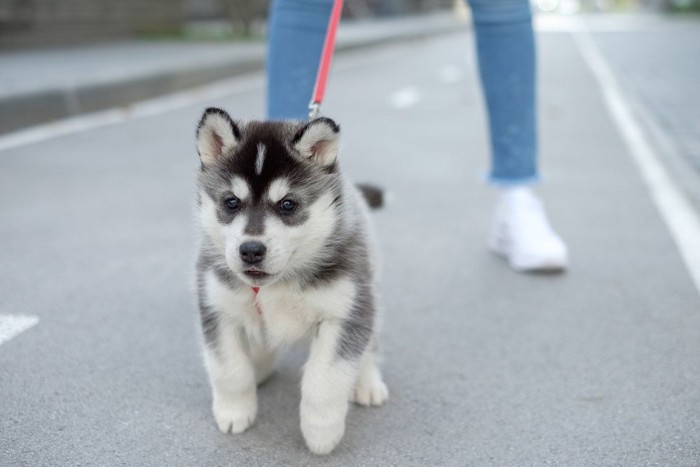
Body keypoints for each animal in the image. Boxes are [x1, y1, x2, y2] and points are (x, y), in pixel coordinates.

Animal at [194, 108, 388, 456]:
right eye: (231, 202)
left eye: (288, 204)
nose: (251, 250)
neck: (277, 284)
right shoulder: (217, 308)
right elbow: (229, 370)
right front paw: (234, 412)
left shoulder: (344, 311)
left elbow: (325, 378)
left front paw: (321, 432)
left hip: (369, 289)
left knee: (370, 342)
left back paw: (367, 382)